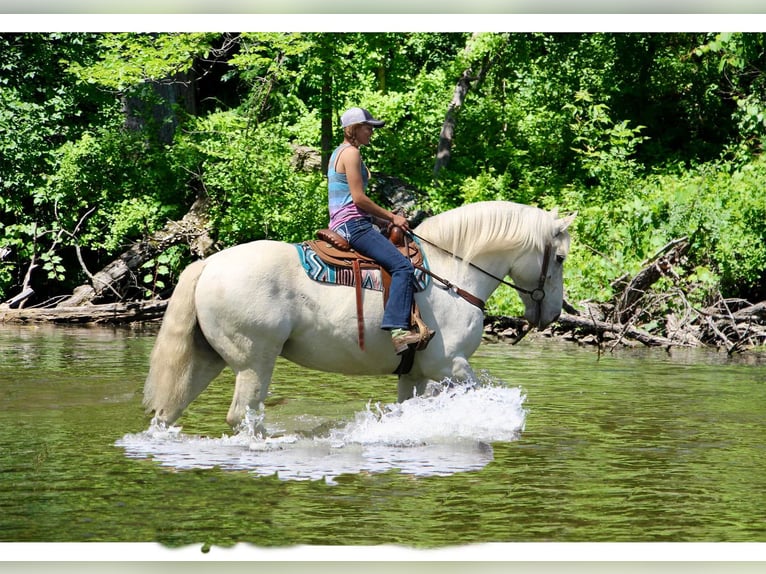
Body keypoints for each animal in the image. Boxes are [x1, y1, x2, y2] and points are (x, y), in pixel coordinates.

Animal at [142, 200, 576, 430]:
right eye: (559, 258)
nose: (553, 313)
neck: (452, 274)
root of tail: (209, 265)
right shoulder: (450, 366)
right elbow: (478, 391)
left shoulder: (415, 374)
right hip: (254, 362)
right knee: (243, 416)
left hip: (206, 358)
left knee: (170, 410)